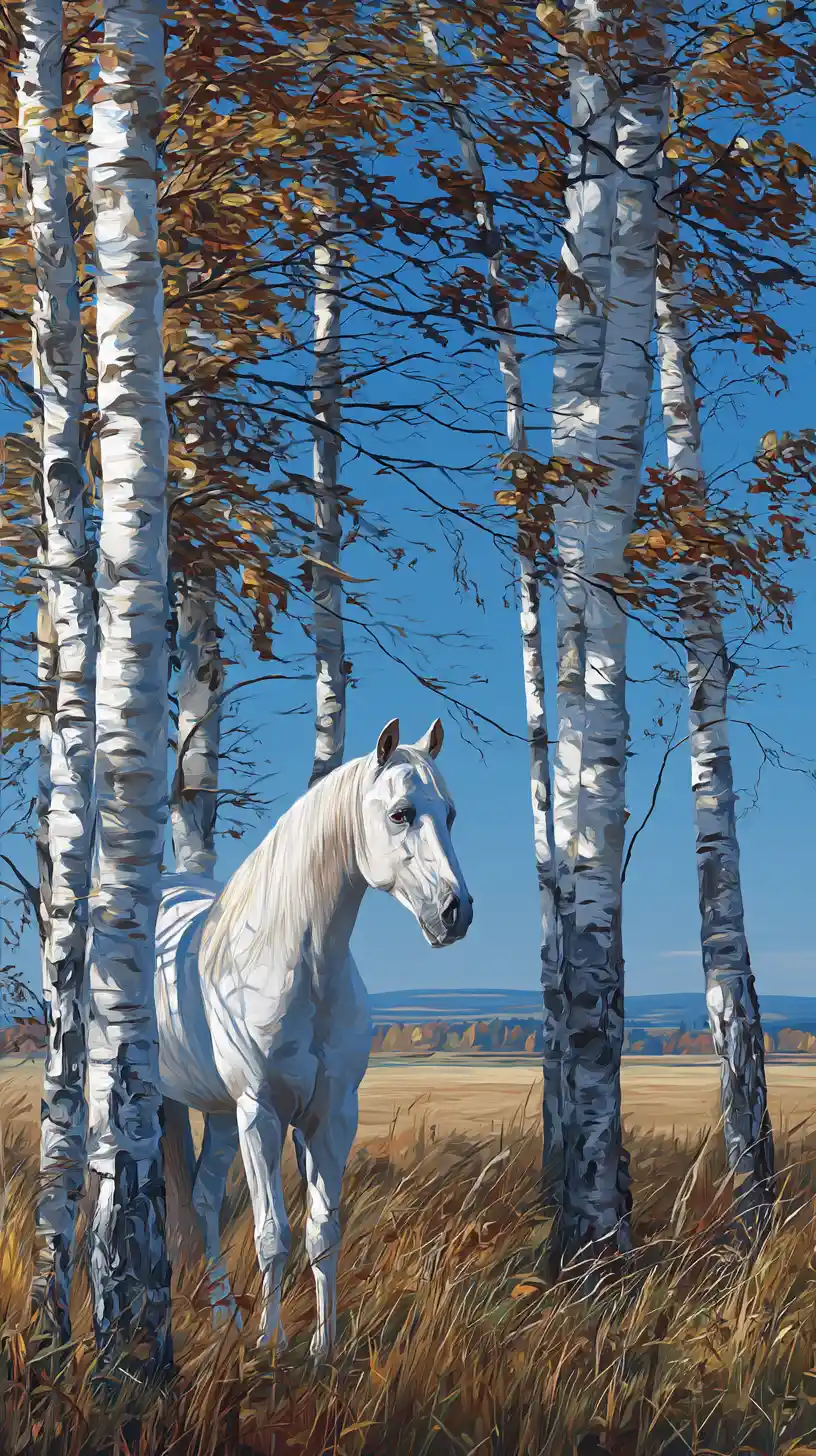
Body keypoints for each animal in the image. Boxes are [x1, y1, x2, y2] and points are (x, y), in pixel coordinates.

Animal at [154, 717, 473, 1358]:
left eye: (449, 814)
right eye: (401, 813)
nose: (456, 912)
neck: (294, 963)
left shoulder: (332, 1115)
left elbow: (323, 1231)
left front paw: (323, 1350)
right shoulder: (262, 1112)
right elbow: (272, 1233)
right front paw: (269, 1345)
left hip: (220, 1112)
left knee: (202, 1198)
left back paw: (224, 1317)